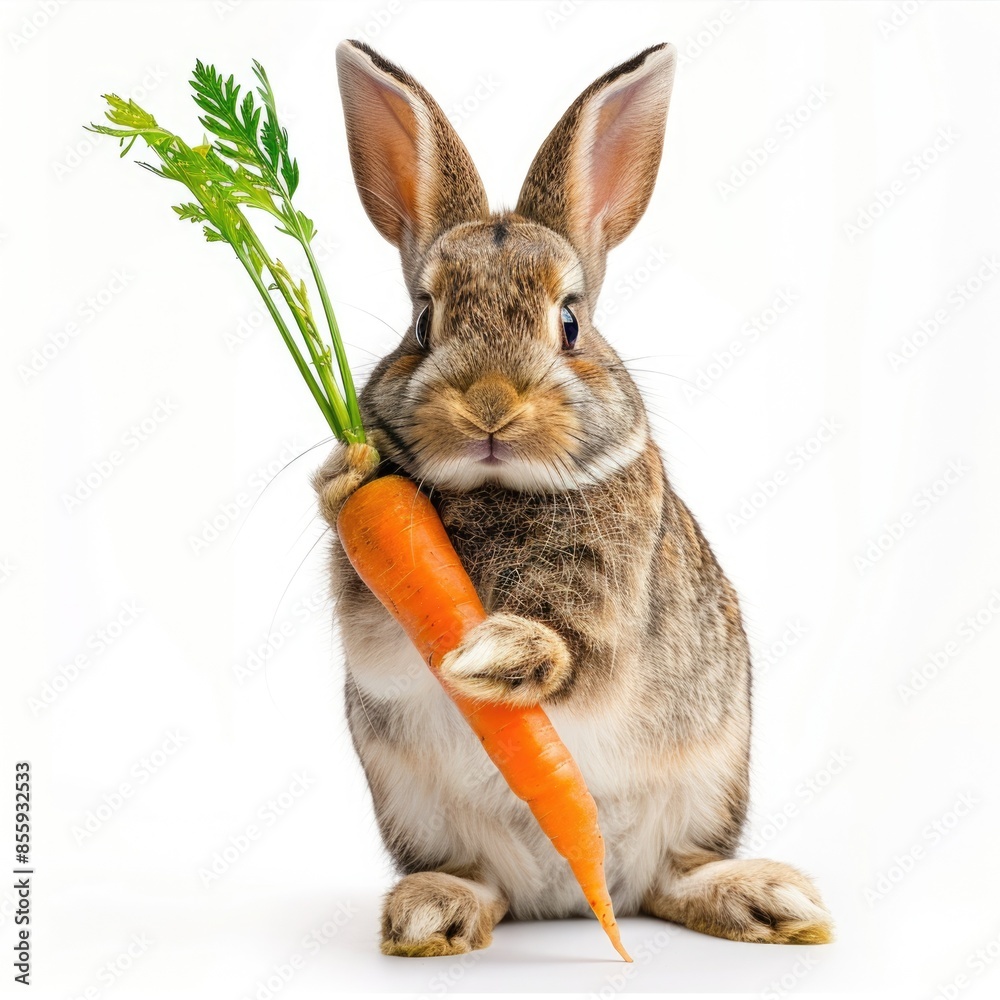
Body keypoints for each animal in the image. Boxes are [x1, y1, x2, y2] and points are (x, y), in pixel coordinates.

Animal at [313, 38, 833, 957]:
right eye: (423, 322)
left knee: (676, 873)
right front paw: (345, 473)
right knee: (480, 880)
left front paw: (491, 656)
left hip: (705, 787)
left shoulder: (611, 613)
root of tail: (571, 896)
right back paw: (432, 913)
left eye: (569, 323)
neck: (494, 492)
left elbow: (577, 657)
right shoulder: (376, 624)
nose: (490, 404)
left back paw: (768, 900)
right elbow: (384, 643)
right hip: (422, 815)